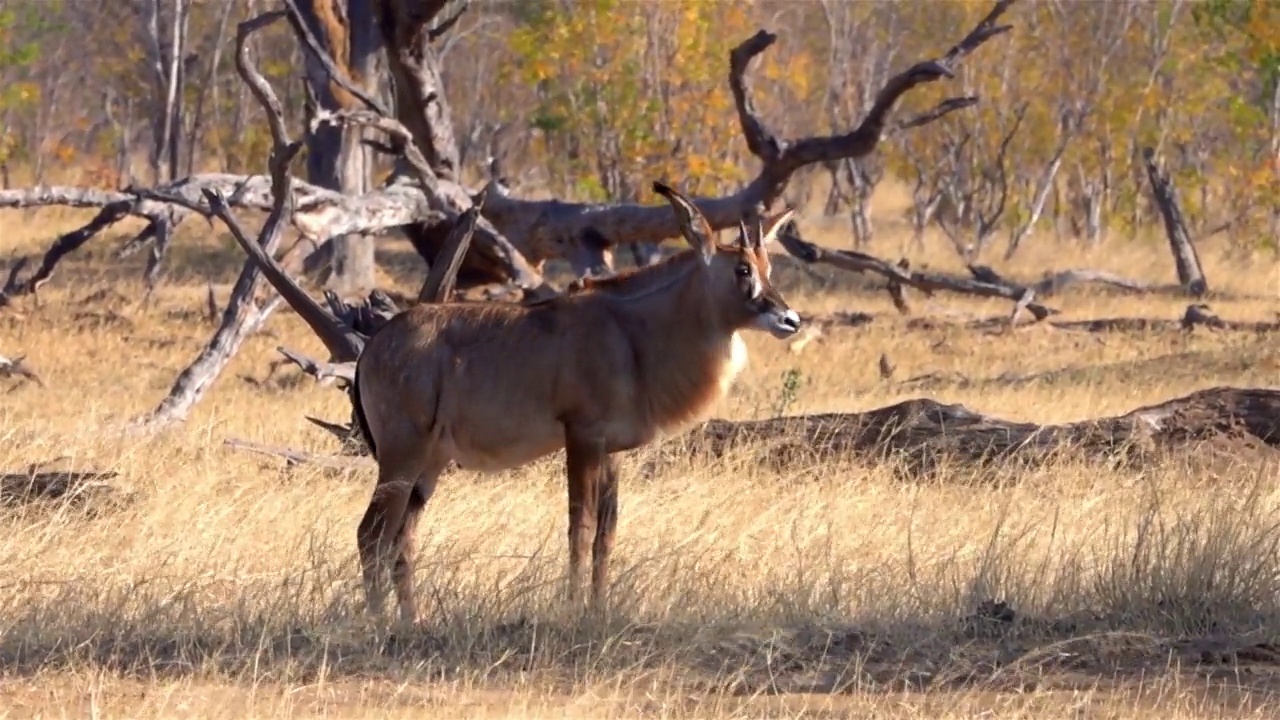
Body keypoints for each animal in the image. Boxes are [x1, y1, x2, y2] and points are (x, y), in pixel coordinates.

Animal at [350, 180, 798, 622]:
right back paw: (379, 622)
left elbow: (606, 532)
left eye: (768, 268)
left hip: (430, 464)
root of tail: (373, 346)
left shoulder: (611, 451)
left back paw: (413, 622)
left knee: (402, 539)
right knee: (372, 533)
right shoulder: (581, 437)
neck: (629, 331)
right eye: (742, 269)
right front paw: (571, 611)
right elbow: (579, 528)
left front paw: (597, 611)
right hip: (403, 454)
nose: (790, 320)